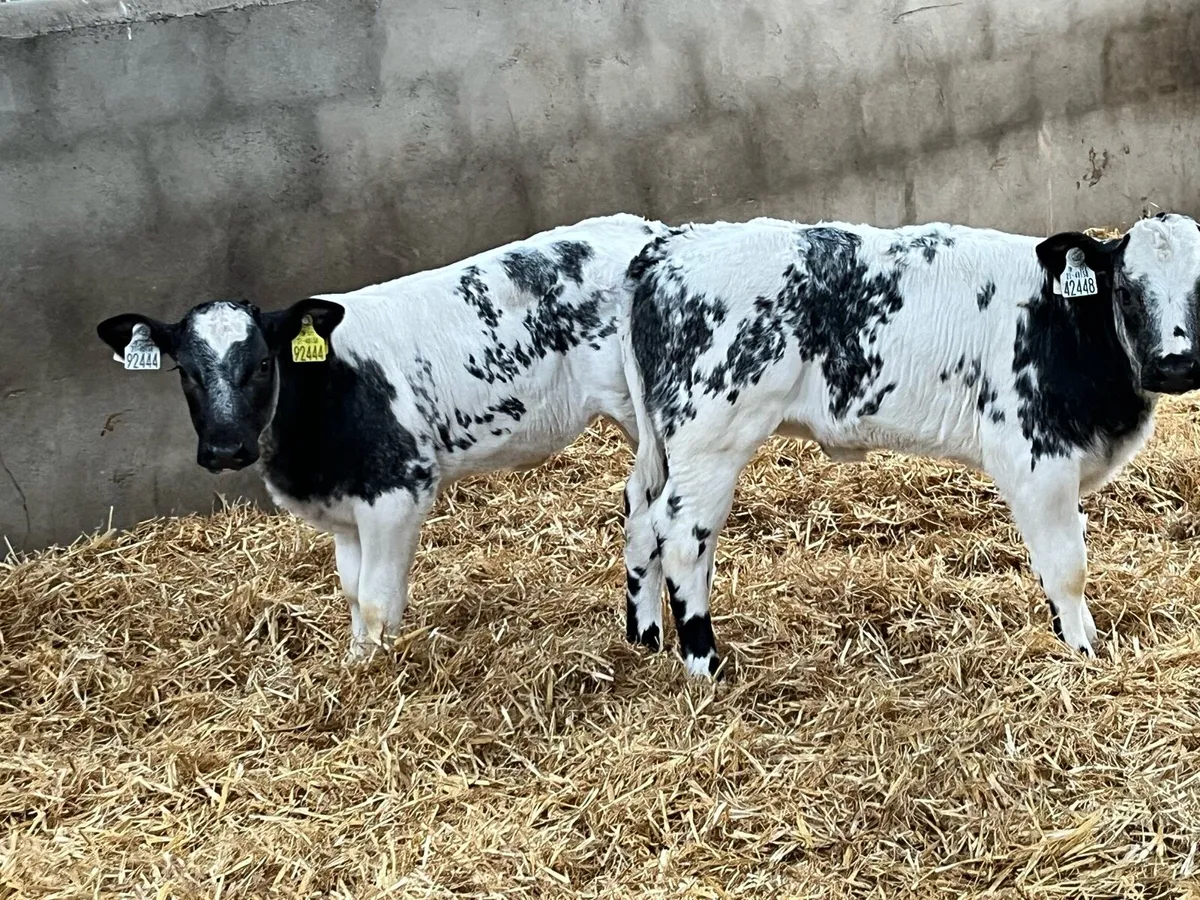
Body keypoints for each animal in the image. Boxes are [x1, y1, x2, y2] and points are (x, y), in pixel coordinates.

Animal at [96, 213, 670, 660]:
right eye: (185, 371)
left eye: (262, 363)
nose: (225, 448)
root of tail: (649, 231)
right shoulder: (344, 507)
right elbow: (352, 592)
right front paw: (355, 662)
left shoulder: (398, 491)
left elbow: (376, 599)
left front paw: (376, 675)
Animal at [619, 212, 1200, 678]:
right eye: (1125, 291)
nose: (1176, 365)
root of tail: (668, 249)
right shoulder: (1037, 461)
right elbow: (1067, 566)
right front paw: (1081, 652)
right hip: (710, 443)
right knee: (682, 538)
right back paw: (703, 664)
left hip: (667, 449)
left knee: (642, 518)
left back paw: (646, 638)